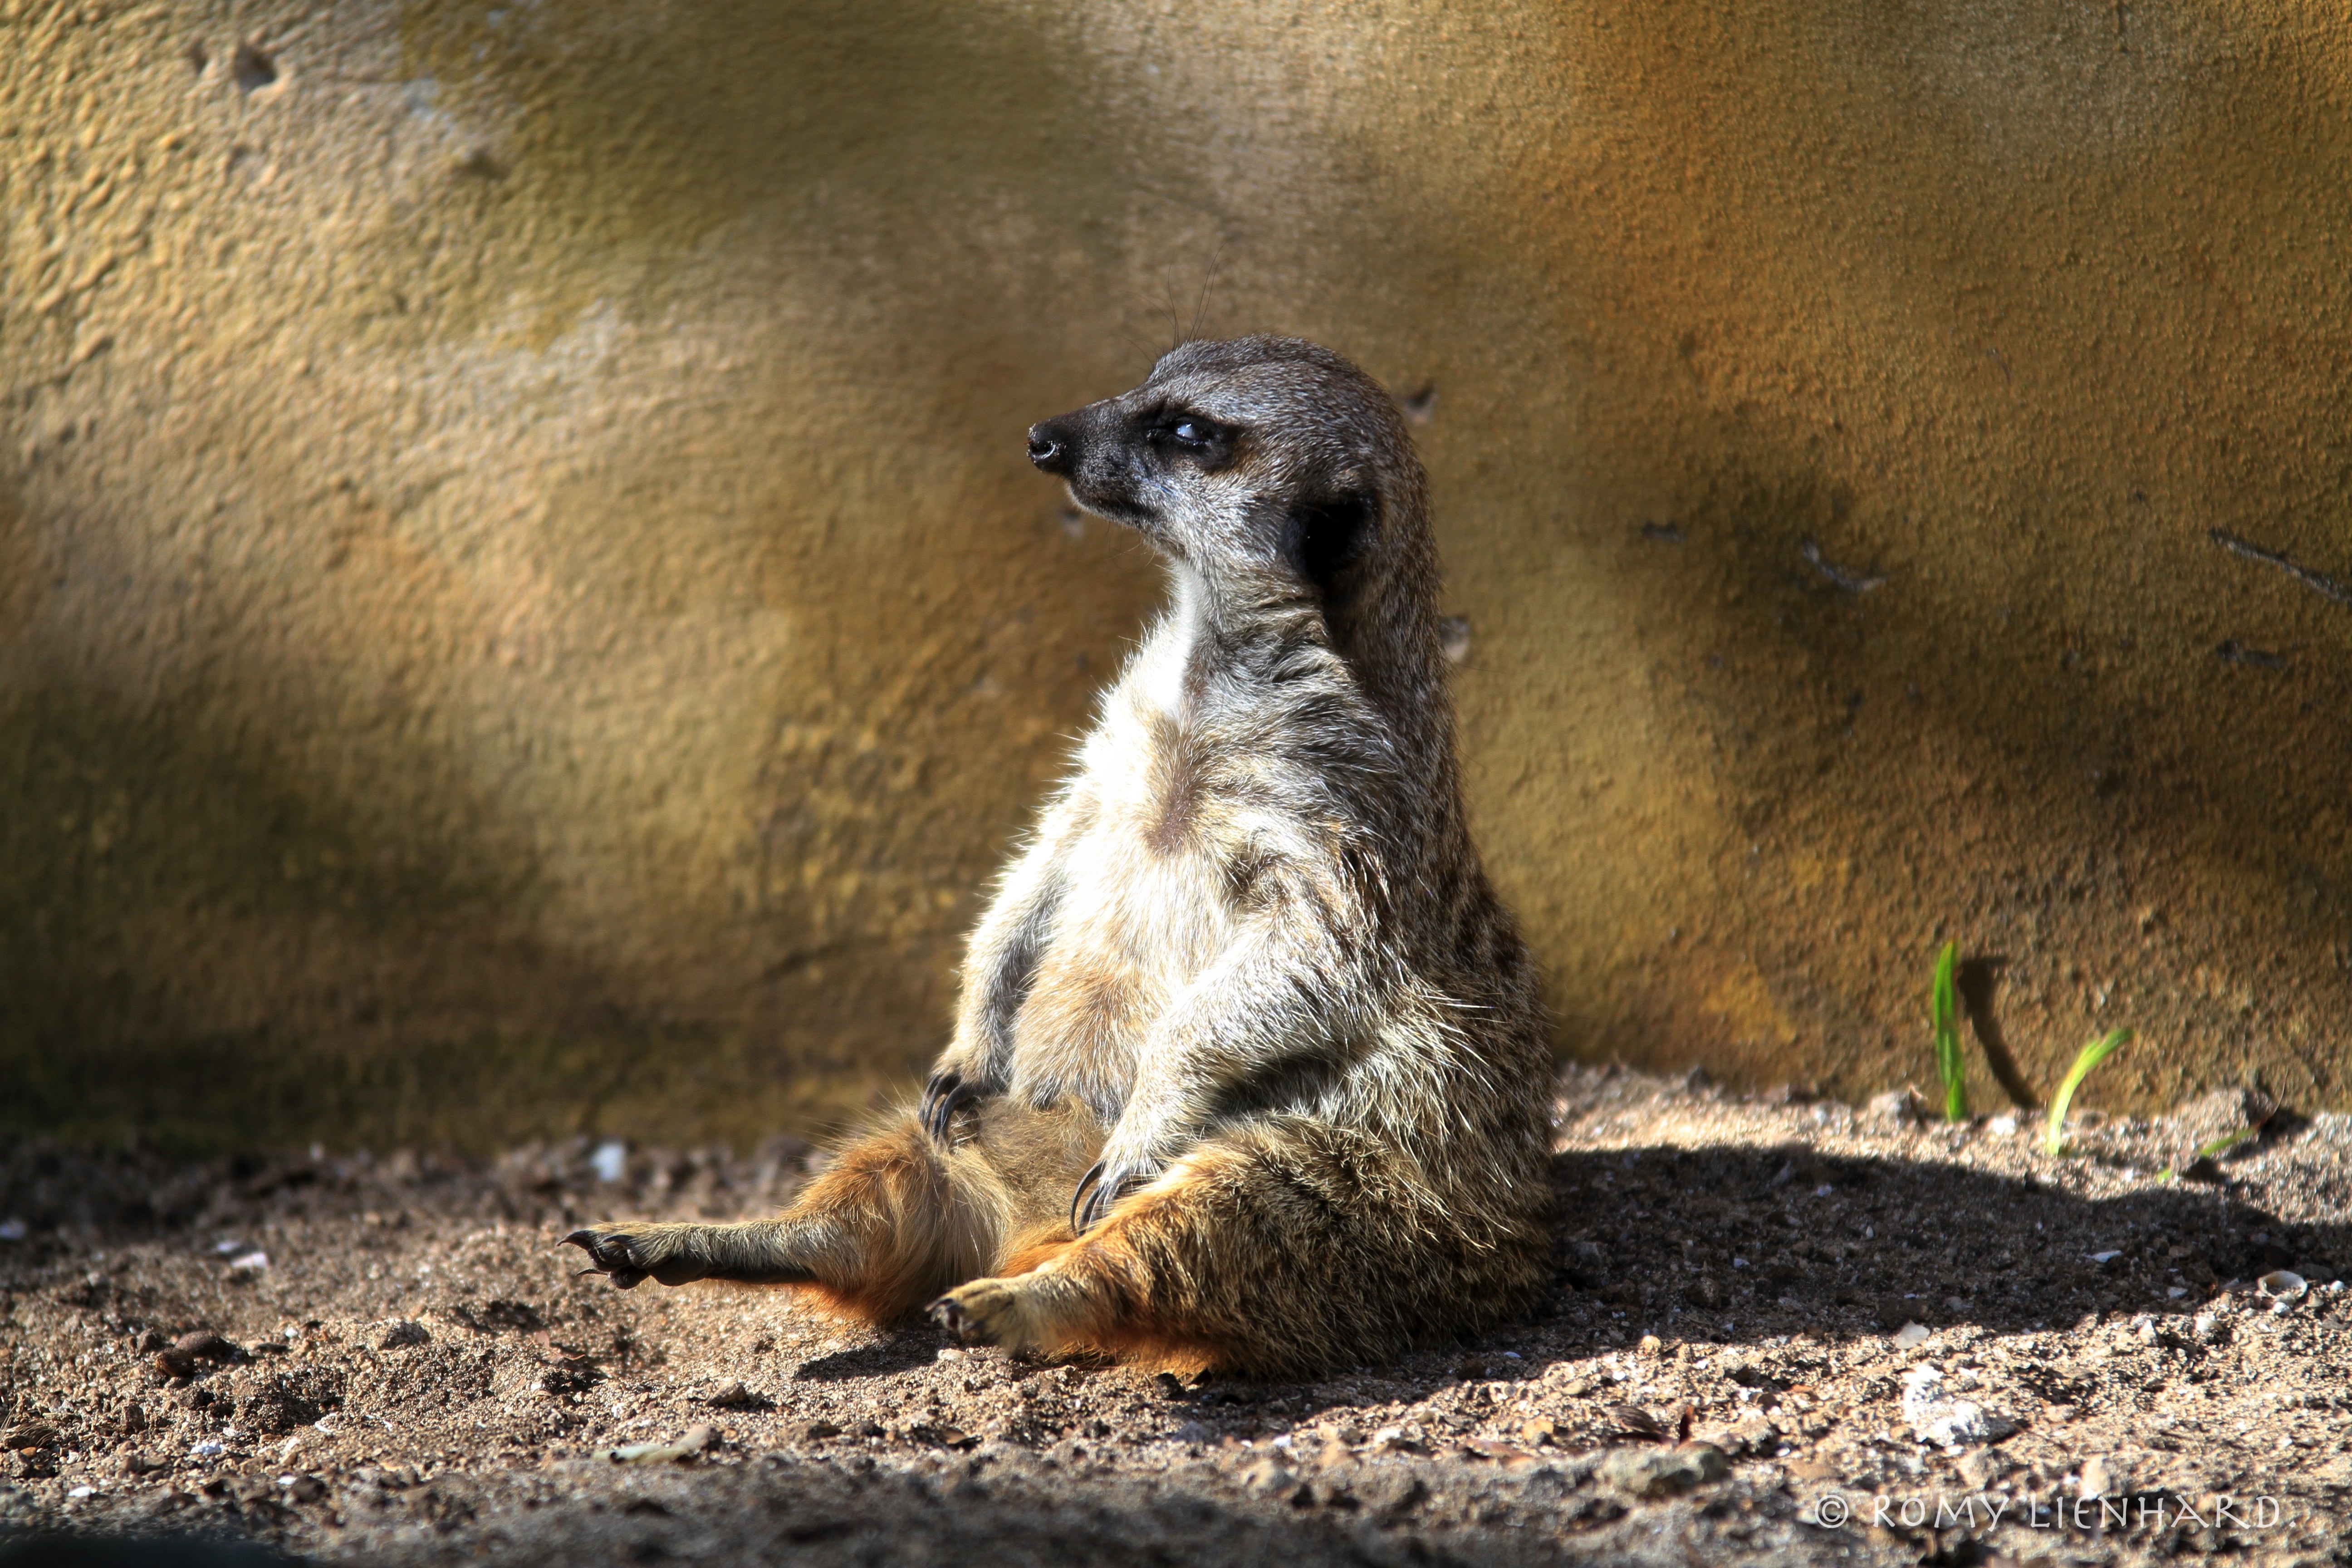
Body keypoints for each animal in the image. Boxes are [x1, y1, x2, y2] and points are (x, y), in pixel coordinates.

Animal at [566, 336, 1553, 1377]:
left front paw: (1154, 1104)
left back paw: (1015, 1298)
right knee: (882, 1190)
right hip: (968, 1137)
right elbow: (1045, 855)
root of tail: (1023, 1229)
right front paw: (967, 1035)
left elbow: (1316, 954)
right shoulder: (1109, 758)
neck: (1206, 672)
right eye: (1153, 370)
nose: (1044, 436)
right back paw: (705, 1237)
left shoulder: (1341, 808)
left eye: (1187, 430)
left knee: (1201, 1227)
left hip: (1347, 1180)